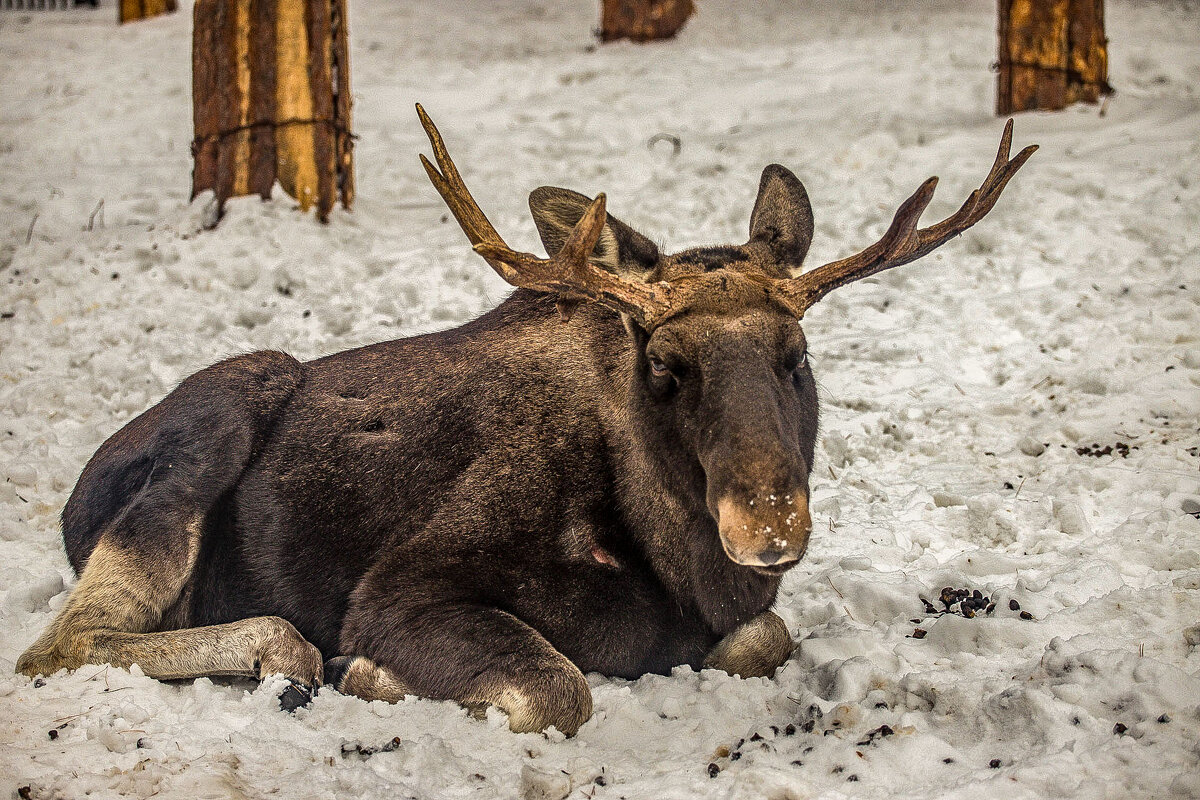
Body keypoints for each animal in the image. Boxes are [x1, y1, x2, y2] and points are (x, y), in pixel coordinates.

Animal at [16, 107, 1032, 738]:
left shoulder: (742, 618)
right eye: (663, 365)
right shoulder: (399, 590)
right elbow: (559, 686)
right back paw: (290, 653)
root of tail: (73, 503)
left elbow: (765, 638)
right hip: (227, 409)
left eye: (799, 355)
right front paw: (373, 675)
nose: (770, 521)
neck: (675, 559)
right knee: (58, 647)